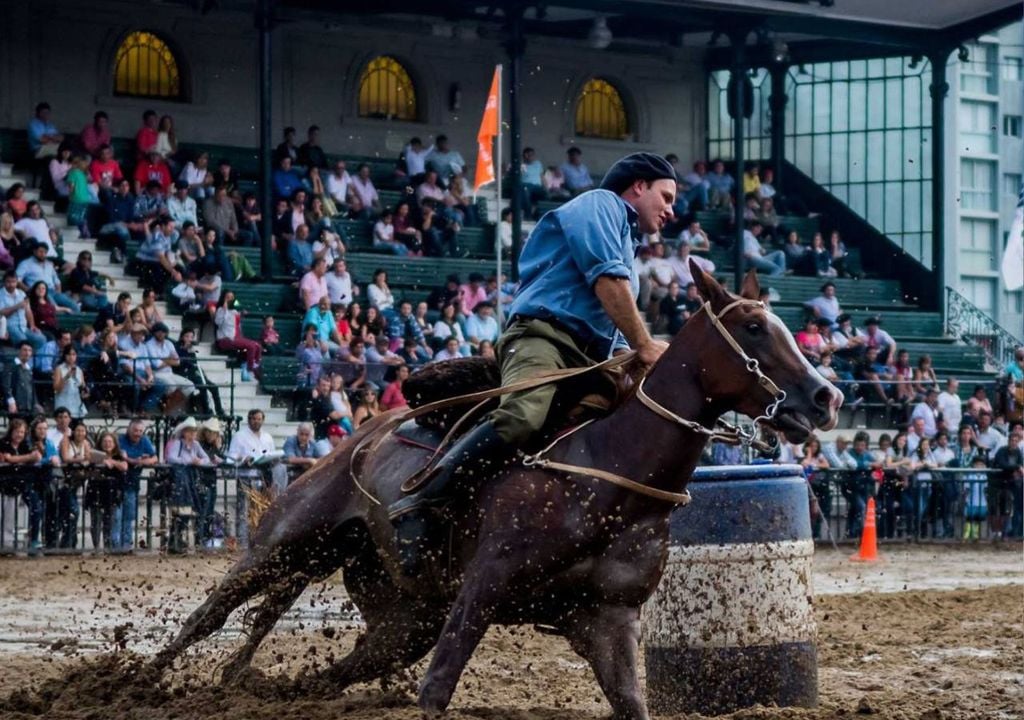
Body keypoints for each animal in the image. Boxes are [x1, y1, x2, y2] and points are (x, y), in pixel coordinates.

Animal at [152, 265, 841, 720]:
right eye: (753, 326)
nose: (826, 397)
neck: (609, 473)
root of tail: (362, 435)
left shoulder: (609, 618)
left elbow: (631, 701)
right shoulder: (482, 588)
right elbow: (437, 691)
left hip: (402, 618)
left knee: (330, 671)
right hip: (287, 542)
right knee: (210, 614)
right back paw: (140, 681)